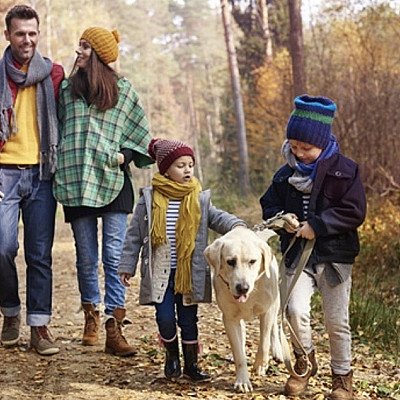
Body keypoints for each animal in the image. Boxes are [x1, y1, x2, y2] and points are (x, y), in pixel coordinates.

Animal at [206, 227, 282, 392]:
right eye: (230, 262)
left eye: (252, 261)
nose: (242, 288)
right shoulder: (229, 319)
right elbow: (238, 354)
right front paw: (242, 381)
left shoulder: (267, 311)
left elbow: (264, 341)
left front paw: (260, 365)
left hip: (276, 302)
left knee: (274, 325)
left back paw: (277, 351)